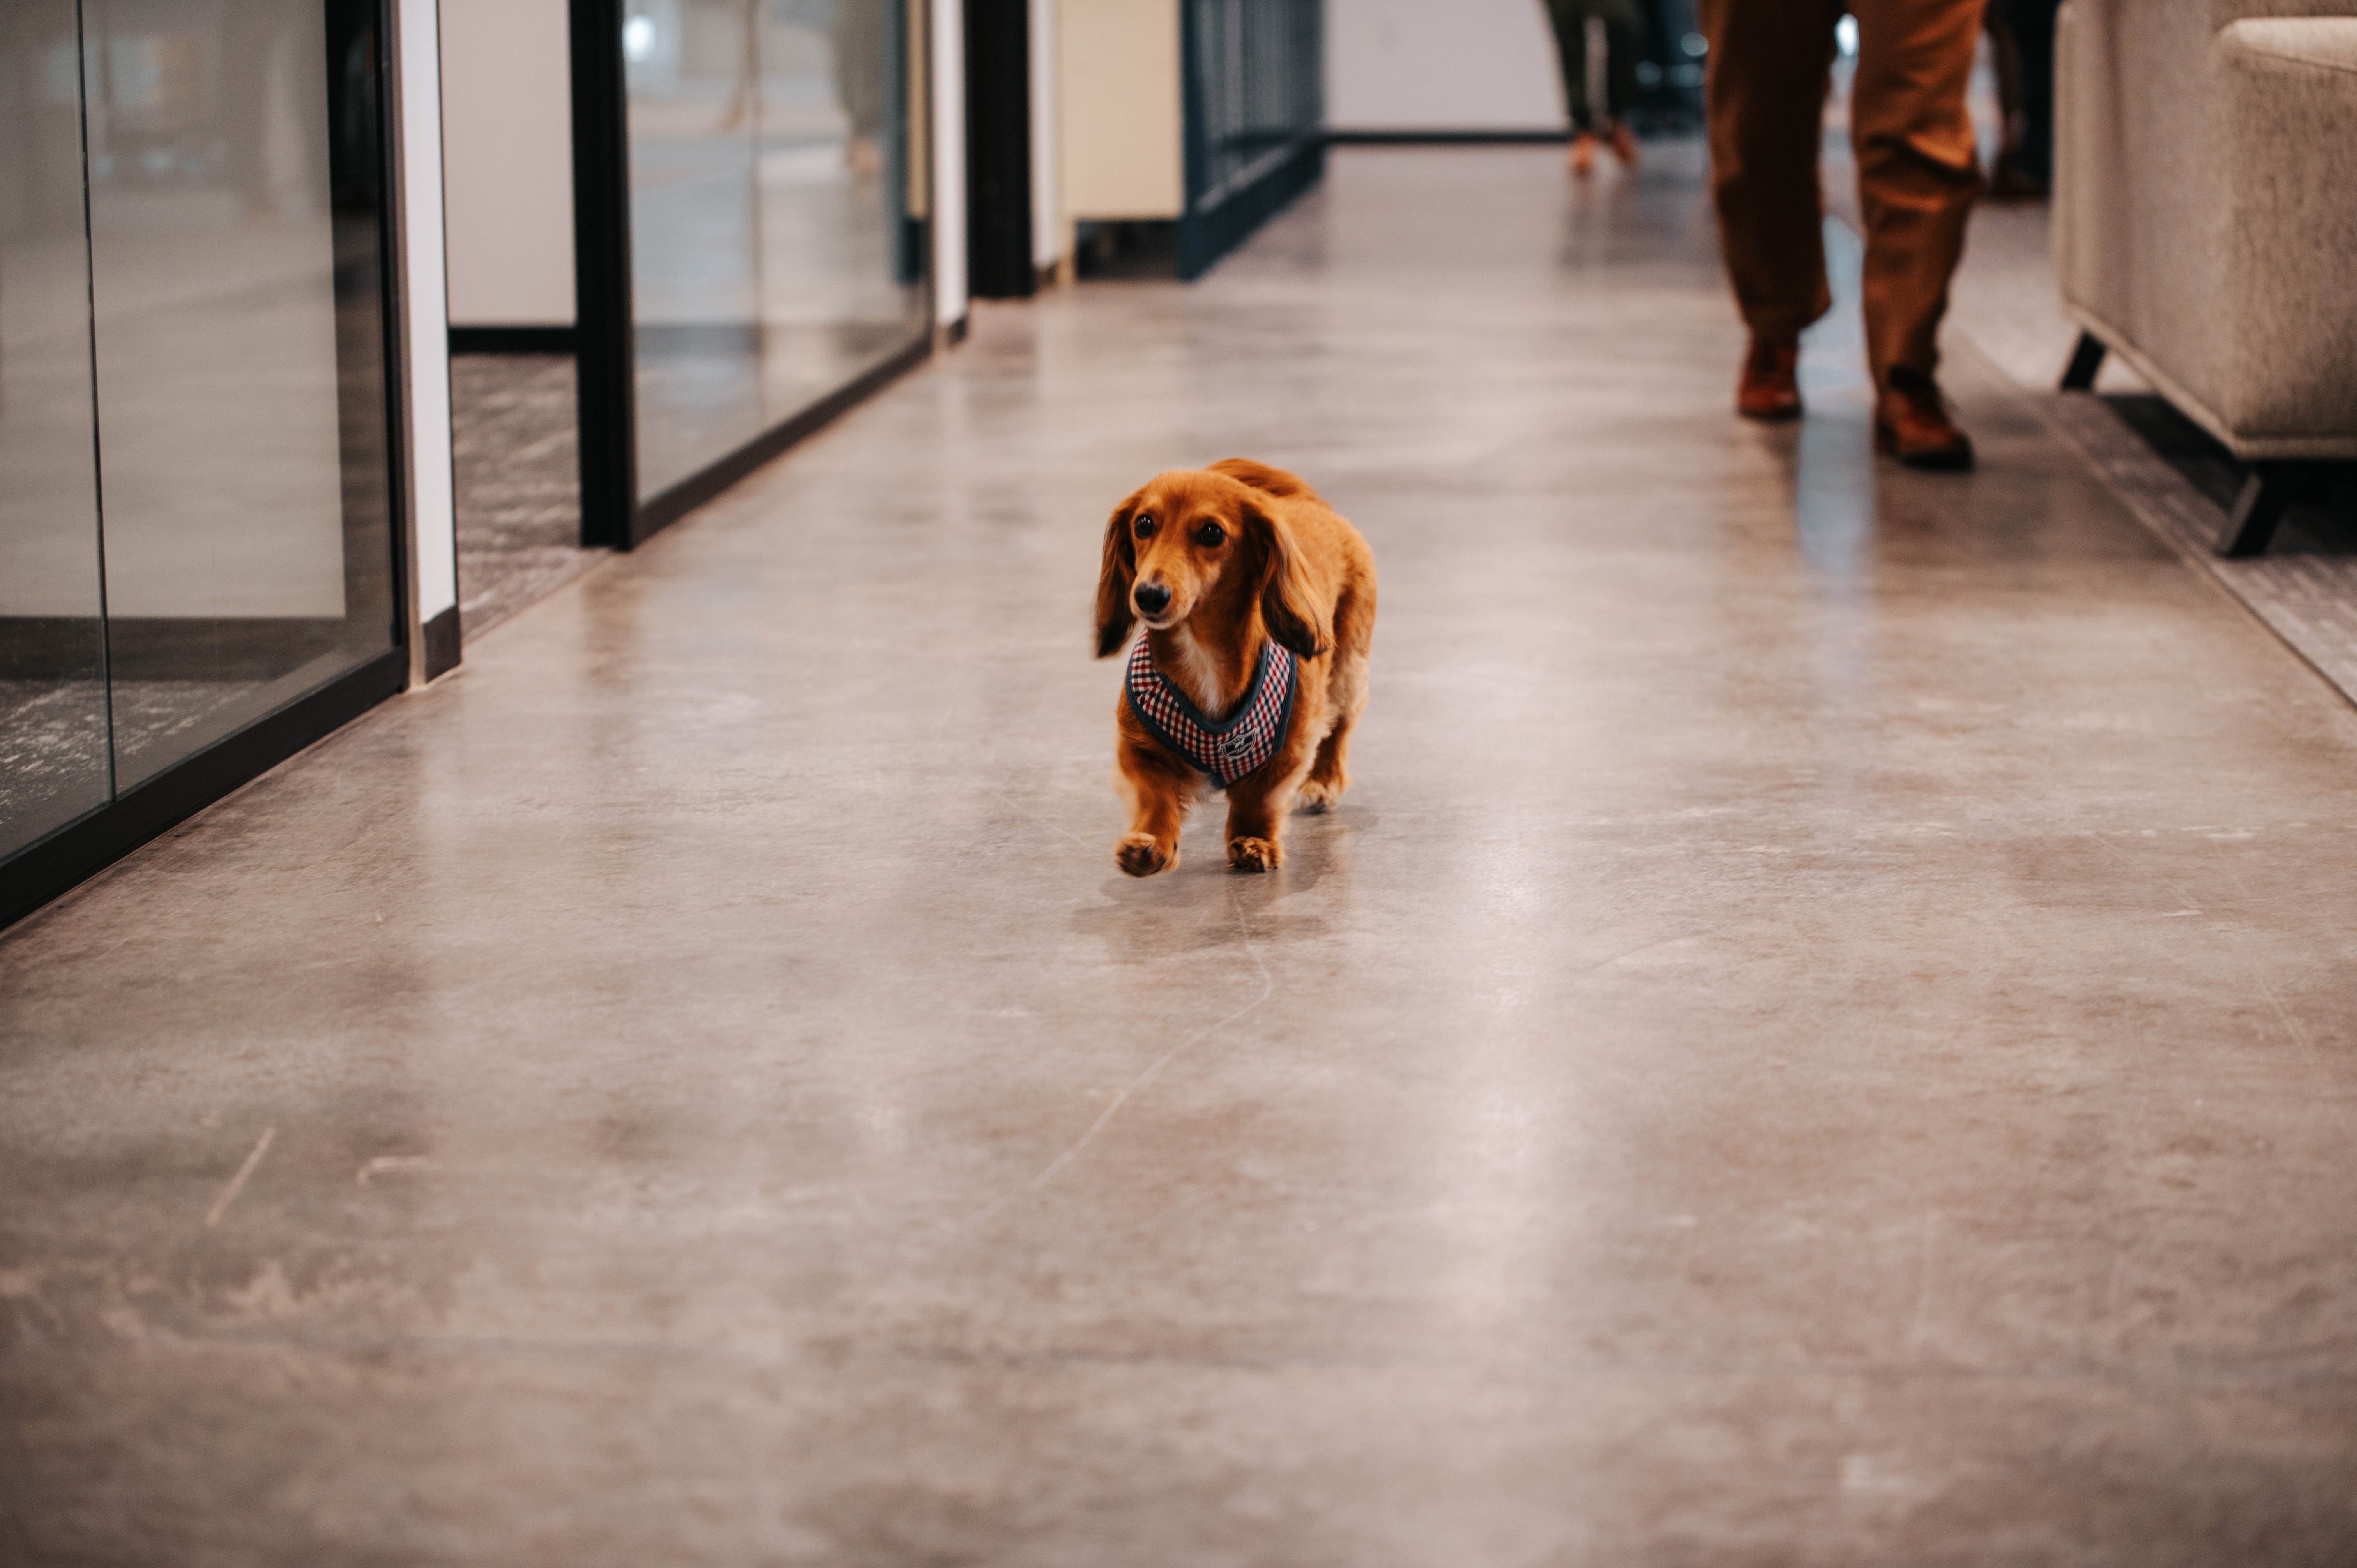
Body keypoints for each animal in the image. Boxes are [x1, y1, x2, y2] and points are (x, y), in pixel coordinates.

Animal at [1089, 459, 1376, 872]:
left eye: (1211, 532)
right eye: (1143, 524)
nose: (1148, 595)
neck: (1203, 651)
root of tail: (1312, 505)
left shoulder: (1290, 747)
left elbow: (1257, 798)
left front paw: (1253, 841)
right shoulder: (1138, 743)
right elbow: (1154, 793)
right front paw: (1151, 842)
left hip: (1348, 669)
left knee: (1340, 725)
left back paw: (1324, 781)